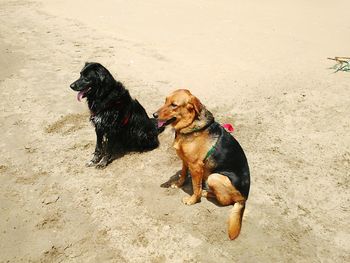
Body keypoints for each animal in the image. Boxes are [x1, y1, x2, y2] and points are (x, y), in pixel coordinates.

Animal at [154, 89, 250, 240]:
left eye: (174, 105)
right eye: (165, 101)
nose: (153, 115)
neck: (190, 126)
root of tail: (244, 198)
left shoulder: (196, 166)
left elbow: (195, 186)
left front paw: (193, 200)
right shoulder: (185, 160)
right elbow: (183, 174)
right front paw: (178, 184)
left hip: (214, 177)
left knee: (225, 200)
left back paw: (205, 192)